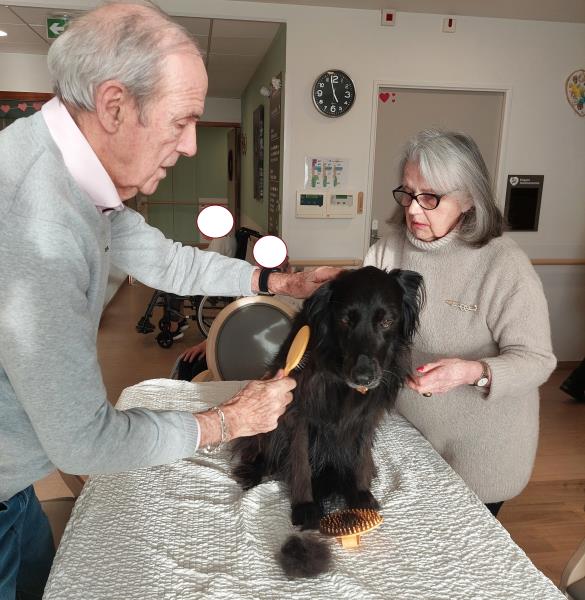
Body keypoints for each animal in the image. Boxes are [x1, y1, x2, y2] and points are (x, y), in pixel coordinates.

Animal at [231, 266, 424, 577]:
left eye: (387, 321)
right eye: (345, 319)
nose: (363, 377)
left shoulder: (366, 416)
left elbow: (360, 456)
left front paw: (360, 493)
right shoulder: (297, 412)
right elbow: (300, 462)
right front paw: (306, 507)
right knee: (261, 448)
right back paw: (253, 471)